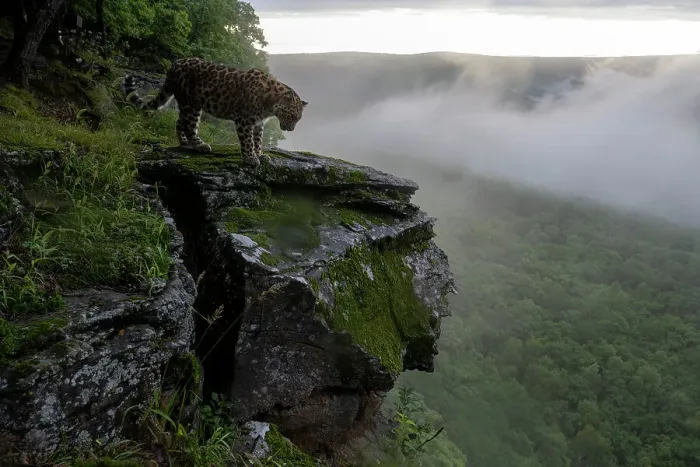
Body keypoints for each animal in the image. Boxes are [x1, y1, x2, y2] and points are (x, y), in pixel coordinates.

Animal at [122, 57, 308, 167]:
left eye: (298, 119)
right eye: (292, 116)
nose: (291, 129)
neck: (270, 104)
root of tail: (176, 63)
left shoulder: (258, 123)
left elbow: (258, 140)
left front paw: (260, 155)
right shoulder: (244, 120)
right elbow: (248, 141)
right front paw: (250, 158)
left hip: (186, 103)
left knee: (180, 122)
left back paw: (184, 143)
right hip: (192, 104)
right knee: (190, 126)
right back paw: (200, 145)